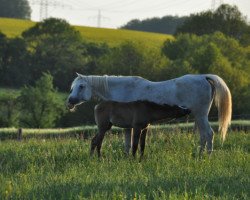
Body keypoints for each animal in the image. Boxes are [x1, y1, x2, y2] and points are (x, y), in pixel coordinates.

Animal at [67, 74, 231, 155]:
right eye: (72, 87)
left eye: (81, 86)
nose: (69, 102)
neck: (123, 88)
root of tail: (204, 77)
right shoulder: (130, 126)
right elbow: (128, 145)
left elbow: (130, 144)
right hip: (199, 117)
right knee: (203, 136)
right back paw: (200, 155)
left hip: (201, 115)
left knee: (208, 134)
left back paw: (206, 156)